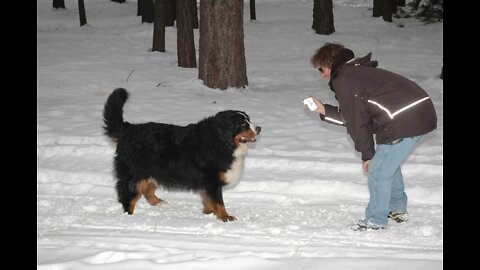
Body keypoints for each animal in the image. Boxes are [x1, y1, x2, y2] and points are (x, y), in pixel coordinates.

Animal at [103, 88, 262, 221]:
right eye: (243, 124)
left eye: (249, 120)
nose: (259, 128)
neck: (220, 141)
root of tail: (128, 129)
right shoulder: (211, 179)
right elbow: (219, 201)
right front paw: (224, 217)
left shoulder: (207, 182)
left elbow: (208, 199)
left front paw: (208, 211)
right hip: (134, 173)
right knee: (128, 195)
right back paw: (129, 216)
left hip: (151, 171)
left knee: (147, 188)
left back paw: (157, 202)